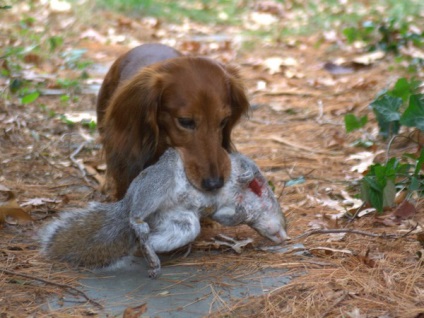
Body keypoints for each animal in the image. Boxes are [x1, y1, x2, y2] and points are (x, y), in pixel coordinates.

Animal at [40, 149, 288, 276]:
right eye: (280, 213)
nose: (285, 236)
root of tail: (128, 201)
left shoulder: (223, 211)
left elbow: (227, 215)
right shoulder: (232, 163)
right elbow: (246, 169)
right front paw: (247, 177)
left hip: (182, 223)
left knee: (150, 239)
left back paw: (149, 254)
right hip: (158, 182)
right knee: (136, 216)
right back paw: (138, 224)